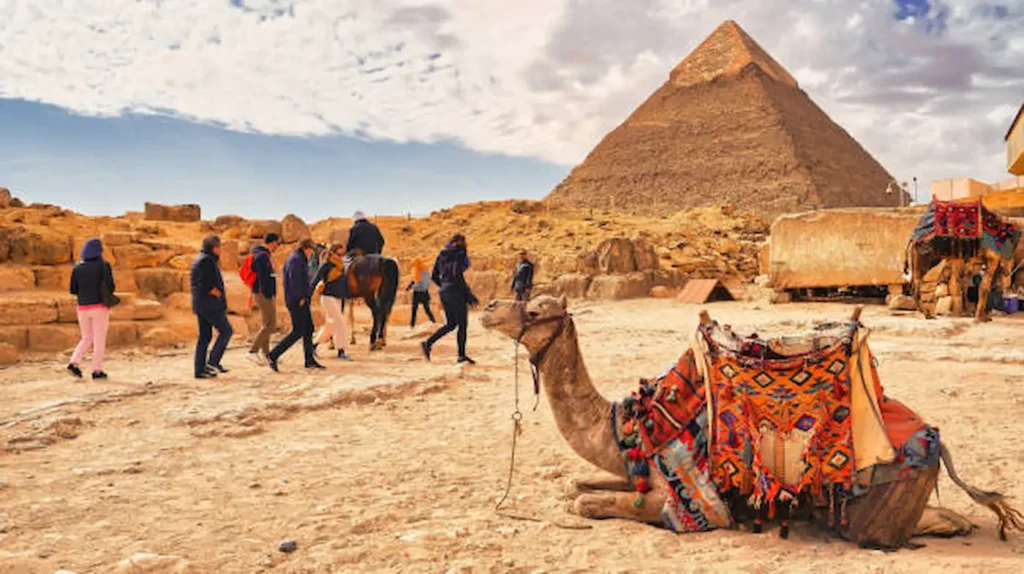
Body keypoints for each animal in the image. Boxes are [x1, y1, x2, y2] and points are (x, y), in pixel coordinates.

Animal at [481, 295, 1022, 548]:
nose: (487, 308)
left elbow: (586, 504)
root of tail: (936, 439)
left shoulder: (685, 500)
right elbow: (575, 486)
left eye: (535, 309)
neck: (628, 425)